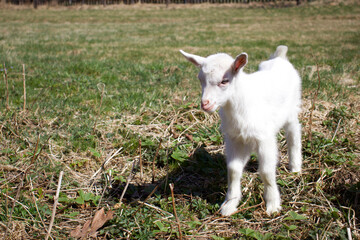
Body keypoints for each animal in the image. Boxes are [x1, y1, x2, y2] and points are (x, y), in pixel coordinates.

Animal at [180, 45, 300, 216]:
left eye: (225, 81)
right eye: (200, 79)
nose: (205, 104)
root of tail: (280, 57)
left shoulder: (265, 138)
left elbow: (266, 171)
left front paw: (273, 205)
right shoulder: (234, 138)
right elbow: (233, 170)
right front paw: (230, 204)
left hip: (292, 110)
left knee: (294, 135)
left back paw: (295, 168)